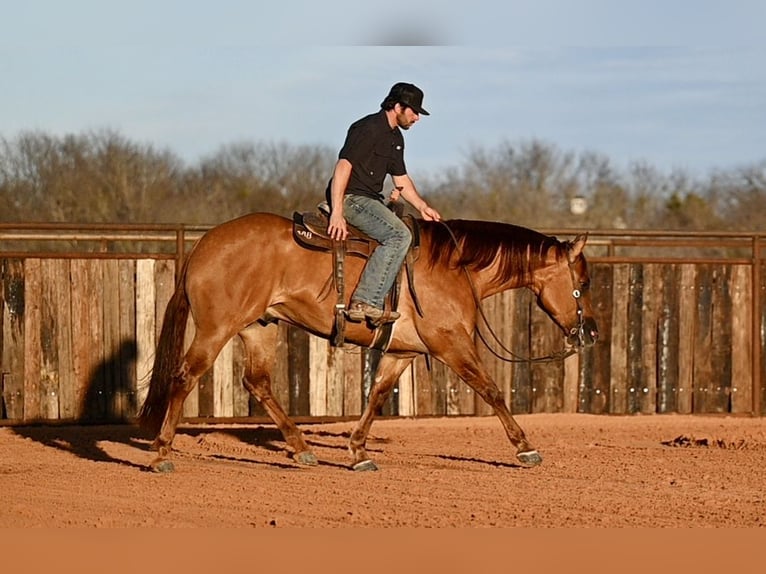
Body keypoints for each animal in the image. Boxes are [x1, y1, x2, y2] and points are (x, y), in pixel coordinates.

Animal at [136, 212, 600, 472]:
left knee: (258, 382)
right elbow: (491, 390)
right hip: (216, 329)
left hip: (260, 327)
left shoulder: (402, 352)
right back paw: (161, 454)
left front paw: (358, 451)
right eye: (583, 280)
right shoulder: (452, 345)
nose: (591, 332)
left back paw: (302, 449)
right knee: (185, 376)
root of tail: (204, 244)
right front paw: (525, 448)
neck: (455, 269)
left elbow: (376, 397)